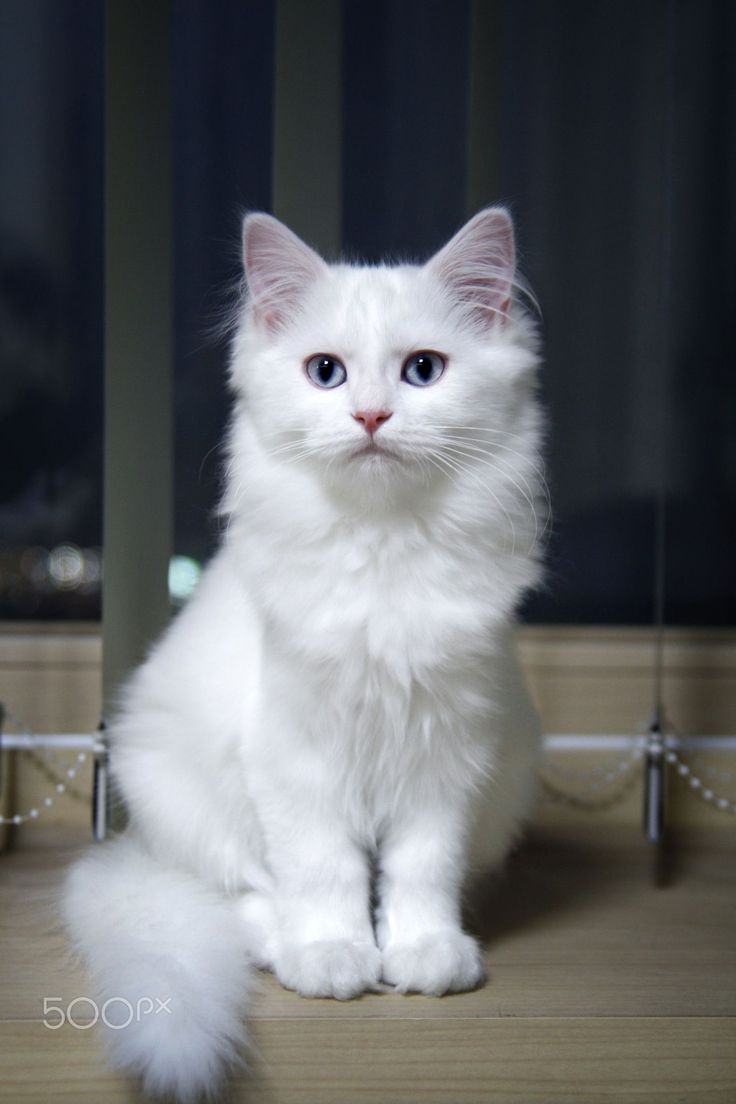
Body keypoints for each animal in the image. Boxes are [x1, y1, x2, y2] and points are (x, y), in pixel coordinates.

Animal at [61, 205, 547, 1095]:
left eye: (422, 371)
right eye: (327, 372)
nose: (371, 417)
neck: (384, 545)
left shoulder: (448, 754)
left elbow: (422, 869)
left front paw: (423, 952)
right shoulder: (297, 757)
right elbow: (325, 870)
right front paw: (334, 954)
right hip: (178, 788)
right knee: (241, 897)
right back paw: (288, 944)